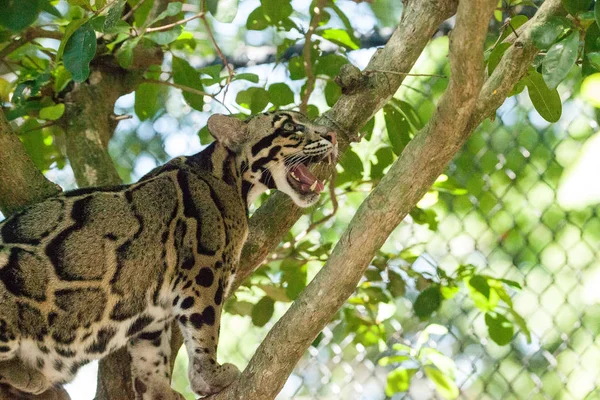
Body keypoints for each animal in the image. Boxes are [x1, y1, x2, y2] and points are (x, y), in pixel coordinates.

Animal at [0, 111, 338, 400]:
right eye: (291, 126)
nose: (333, 135)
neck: (229, 178)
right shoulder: (205, 272)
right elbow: (205, 330)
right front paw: (211, 376)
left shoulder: (155, 305)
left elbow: (151, 353)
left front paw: (159, 389)